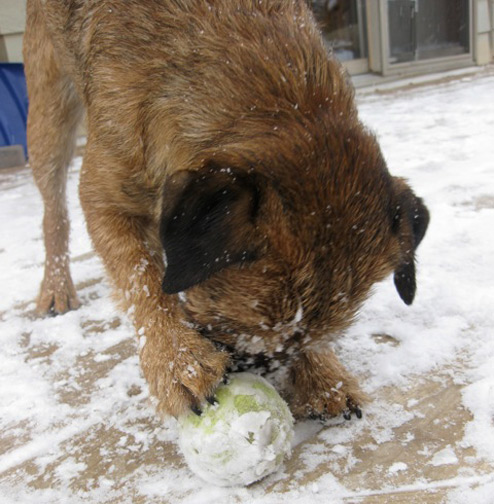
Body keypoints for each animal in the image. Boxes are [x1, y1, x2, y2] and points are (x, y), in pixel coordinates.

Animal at [24, 0, 429, 420]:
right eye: (224, 324)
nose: (255, 370)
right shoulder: (106, 196)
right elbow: (142, 278)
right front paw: (177, 360)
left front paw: (322, 376)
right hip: (48, 110)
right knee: (53, 212)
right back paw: (55, 287)